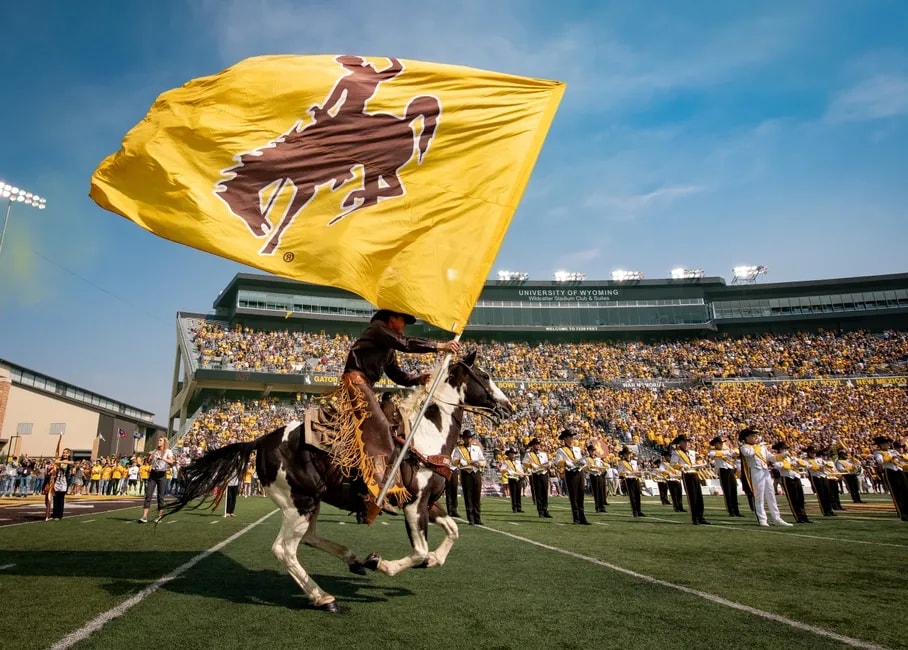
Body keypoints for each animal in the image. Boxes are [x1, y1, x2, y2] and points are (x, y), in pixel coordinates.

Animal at [162, 350, 510, 608]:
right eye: (486, 376)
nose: (508, 407)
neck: (423, 435)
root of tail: (261, 440)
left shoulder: (429, 503)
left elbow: (452, 532)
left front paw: (428, 559)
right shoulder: (415, 506)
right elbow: (419, 552)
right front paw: (382, 564)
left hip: (311, 501)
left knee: (309, 538)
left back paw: (353, 560)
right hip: (298, 503)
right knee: (285, 549)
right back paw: (323, 596)